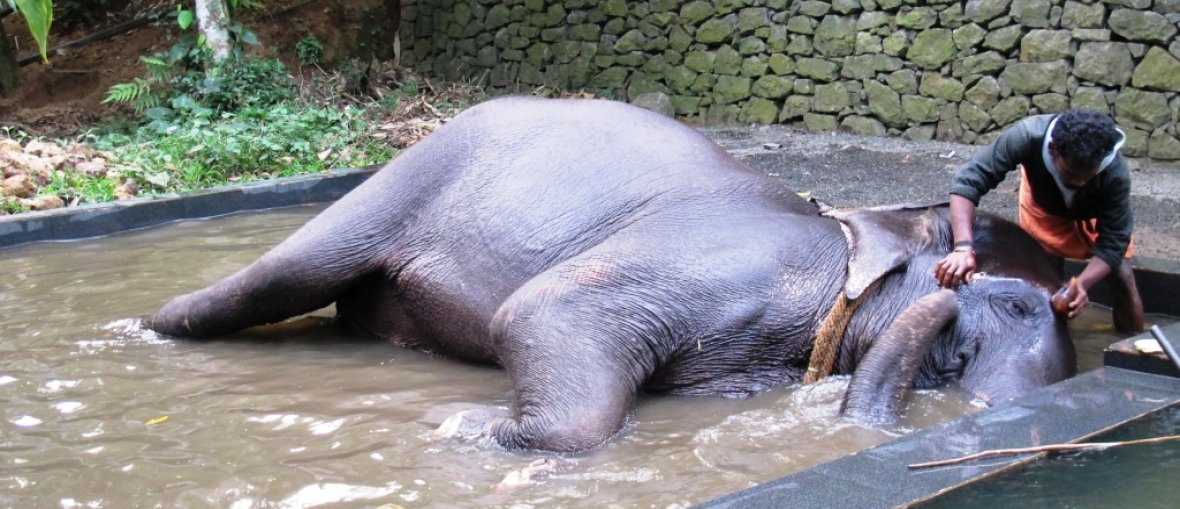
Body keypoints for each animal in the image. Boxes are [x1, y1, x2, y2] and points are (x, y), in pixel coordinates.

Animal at [148, 97, 1076, 453]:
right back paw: (145, 329)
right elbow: (542, 309)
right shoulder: (723, 260)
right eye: (1010, 301)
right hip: (407, 177)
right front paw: (465, 425)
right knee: (276, 278)